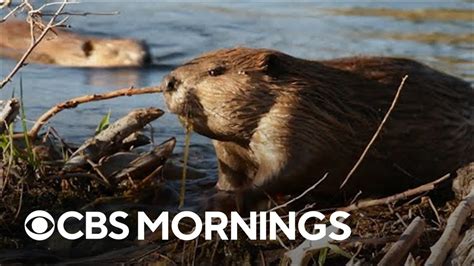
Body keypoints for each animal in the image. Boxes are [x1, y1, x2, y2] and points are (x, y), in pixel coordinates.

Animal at [160, 47, 474, 208]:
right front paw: (213, 189)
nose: (168, 81)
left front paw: (221, 198)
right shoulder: (229, 148)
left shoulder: (292, 120)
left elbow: (283, 170)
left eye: (215, 71)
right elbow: (230, 172)